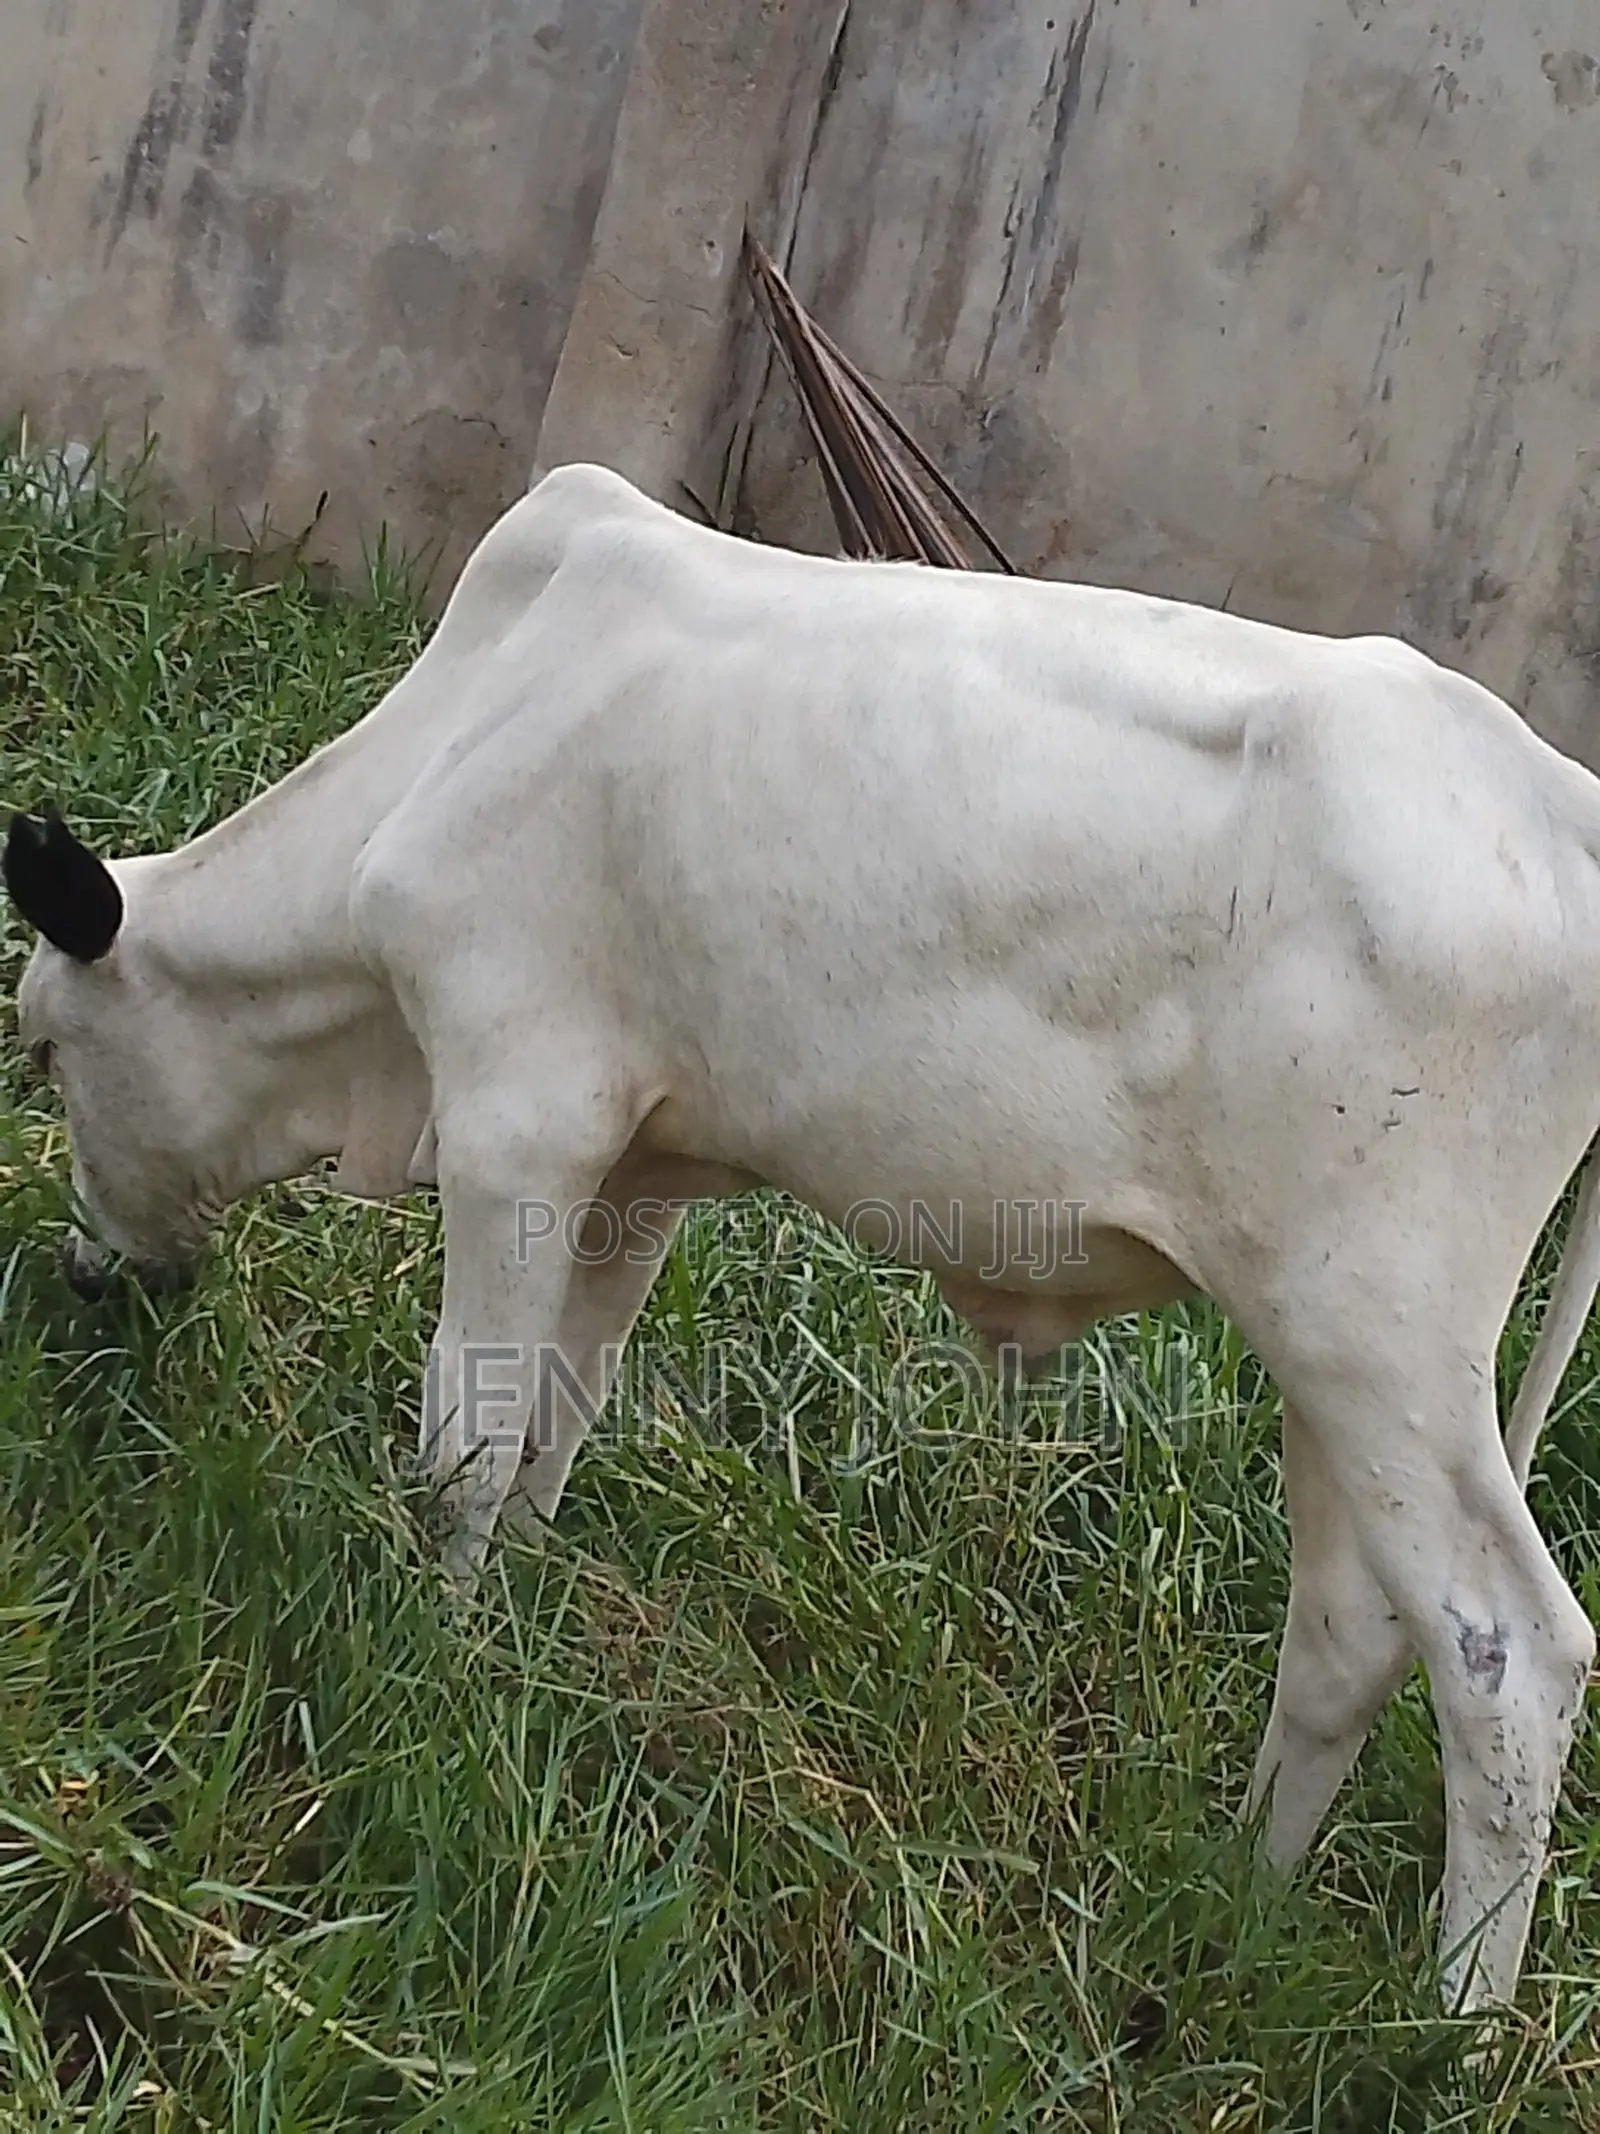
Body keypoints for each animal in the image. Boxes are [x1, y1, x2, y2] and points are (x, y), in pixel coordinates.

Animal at [6, 461, 1600, 2018]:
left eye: (41, 1048)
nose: (86, 1275)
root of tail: (1554, 789)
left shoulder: (519, 1112)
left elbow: (470, 1434)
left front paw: (430, 1658)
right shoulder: (637, 1162)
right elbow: (559, 1421)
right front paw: (512, 1628)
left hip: (1377, 1337)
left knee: (1505, 1654)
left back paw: (1453, 2036)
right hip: (1329, 1357)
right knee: (1349, 1629)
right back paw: (1237, 1900)